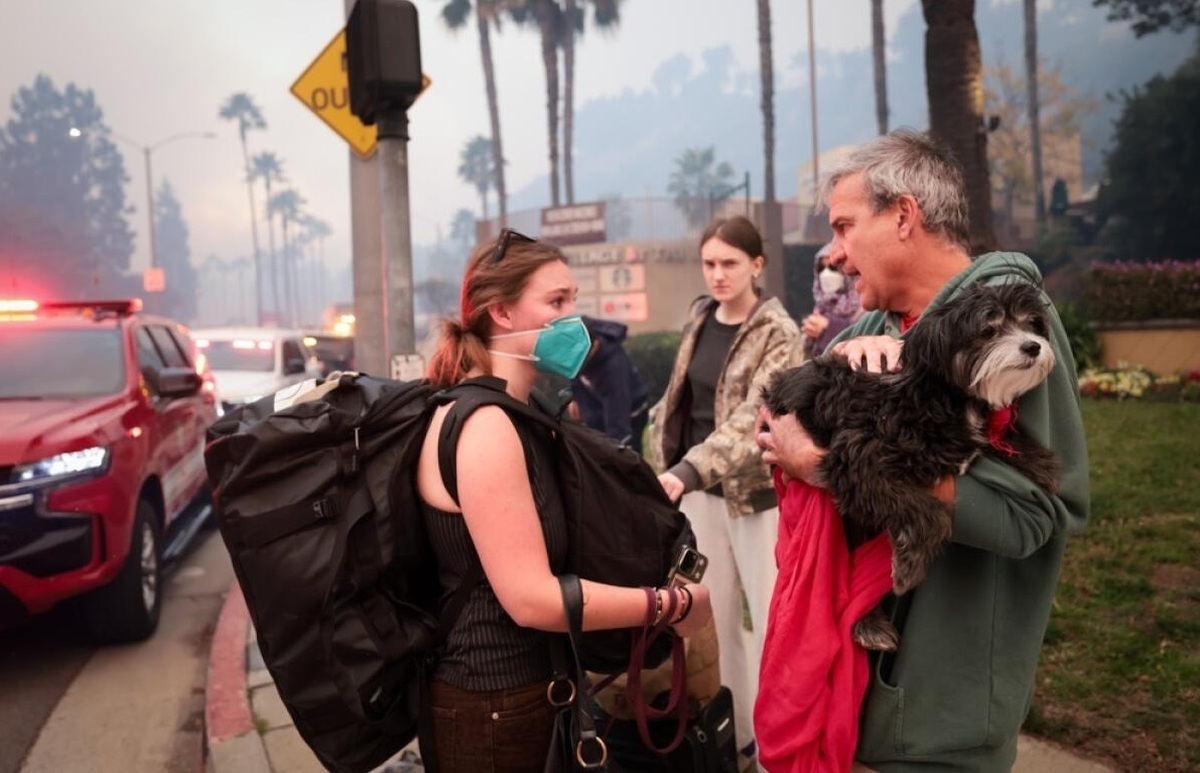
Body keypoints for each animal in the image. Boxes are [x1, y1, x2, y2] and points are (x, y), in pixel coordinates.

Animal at [758, 280, 1060, 648]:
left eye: (1031, 323)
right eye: (988, 330)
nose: (1033, 346)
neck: (942, 396)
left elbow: (993, 443)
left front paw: (1036, 460)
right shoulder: (860, 461)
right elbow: (929, 512)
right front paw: (910, 565)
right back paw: (868, 622)